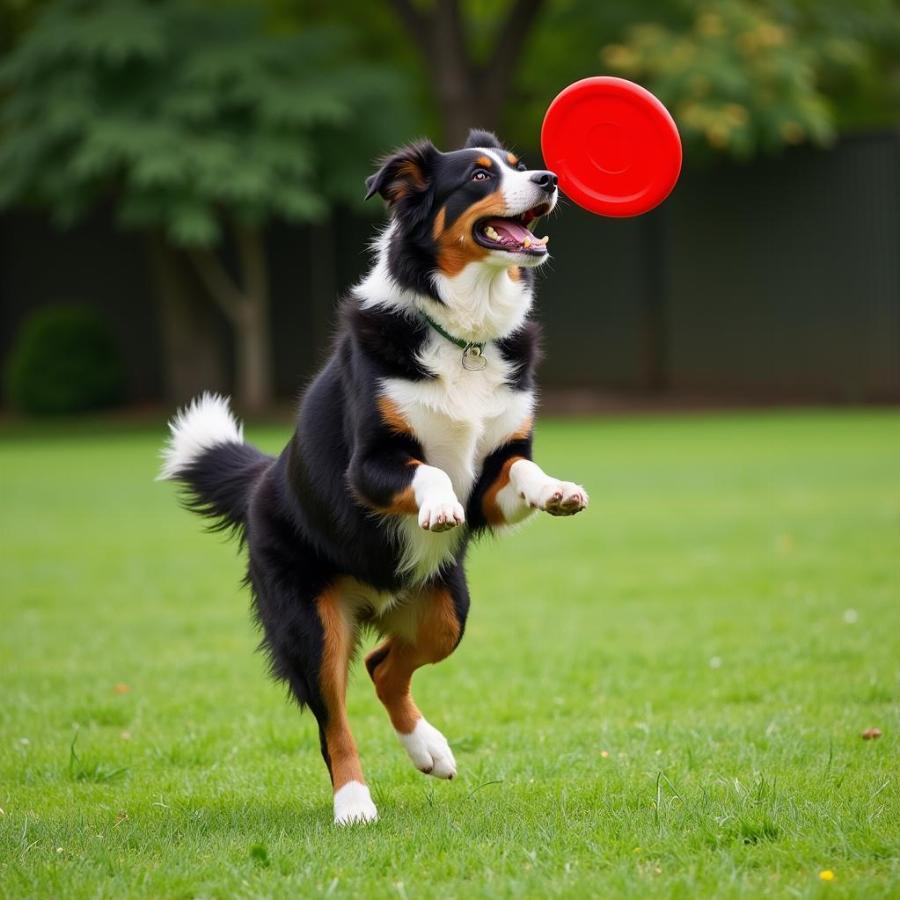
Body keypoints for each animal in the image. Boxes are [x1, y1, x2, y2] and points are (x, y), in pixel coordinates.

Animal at [162, 130, 592, 828]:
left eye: (520, 165)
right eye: (479, 176)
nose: (550, 179)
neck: (465, 335)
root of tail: (261, 482)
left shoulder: (491, 480)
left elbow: (520, 467)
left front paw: (557, 491)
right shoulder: (369, 465)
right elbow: (429, 472)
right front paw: (438, 510)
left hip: (447, 608)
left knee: (383, 663)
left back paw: (430, 751)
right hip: (312, 624)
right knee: (333, 718)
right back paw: (354, 804)